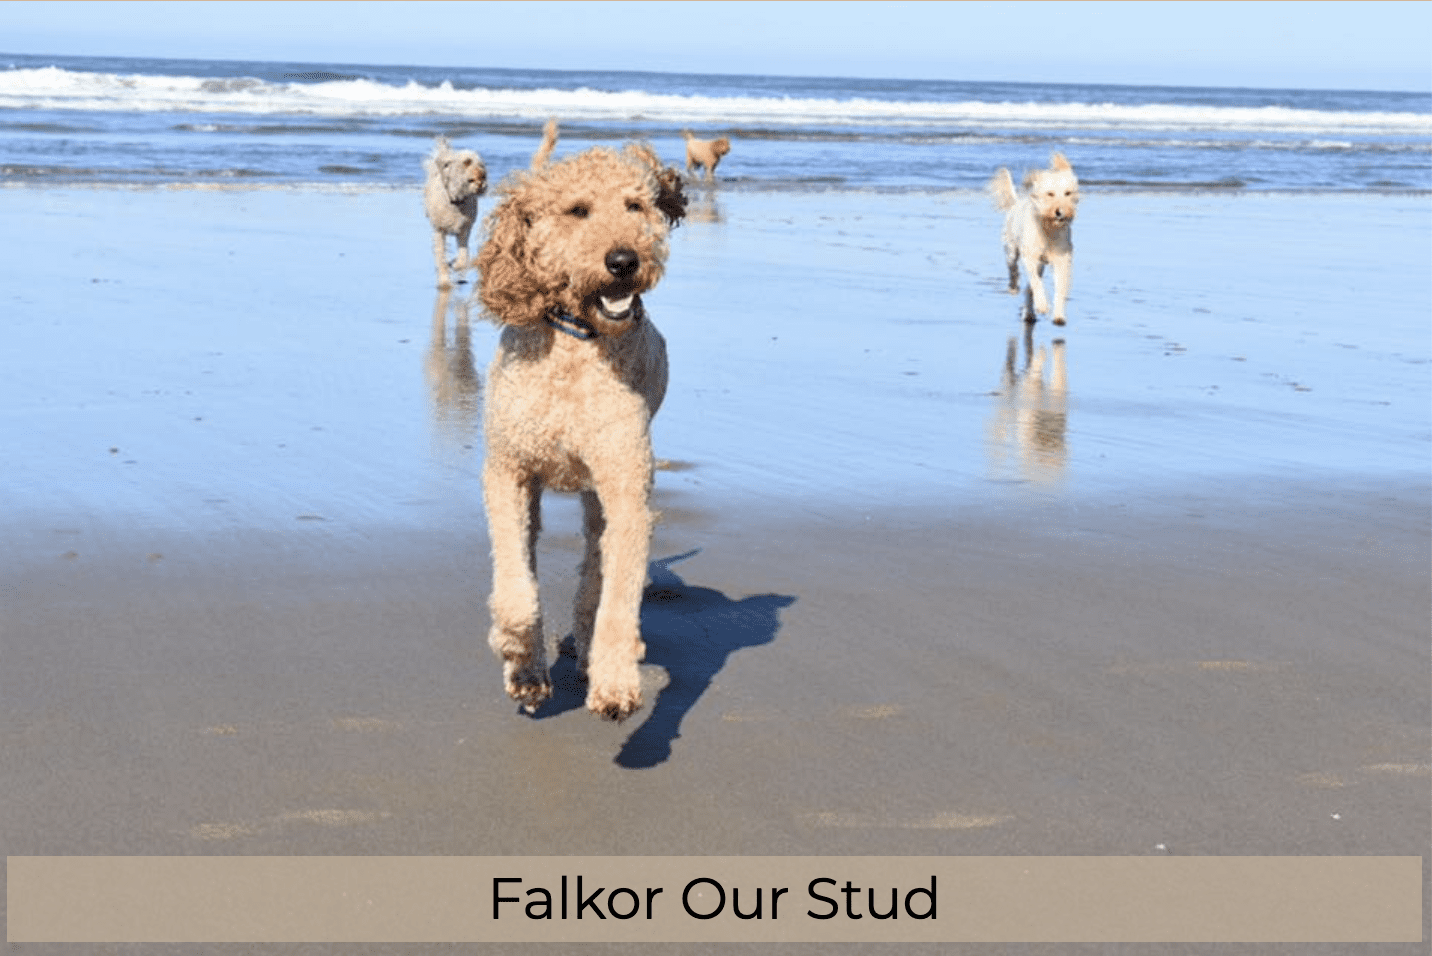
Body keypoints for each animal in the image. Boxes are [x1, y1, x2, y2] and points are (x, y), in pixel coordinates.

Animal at [421, 135, 489, 287]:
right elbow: (441, 257)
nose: (482, 178)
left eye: (482, 164)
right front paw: (444, 281)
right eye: (467, 162)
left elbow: (463, 258)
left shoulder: (464, 230)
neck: (456, 201)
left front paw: (456, 264)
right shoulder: (439, 231)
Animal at [475, 121, 687, 715]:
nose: (624, 260)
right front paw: (516, 646)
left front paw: (615, 679)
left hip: (597, 499)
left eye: (636, 205)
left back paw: (588, 647)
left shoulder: (626, 485)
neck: (576, 346)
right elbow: (515, 582)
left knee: (595, 568)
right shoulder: (509, 472)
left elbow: (618, 593)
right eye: (577, 210)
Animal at [990, 150, 1076, 326]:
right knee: (1013, 269)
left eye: (1068, 193)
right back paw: (1014, 288)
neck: (1048, 228)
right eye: (1050, 194)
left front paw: (1059, 315)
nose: (1060, 212)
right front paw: (1042, 305)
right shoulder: (1030, 257)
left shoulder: (1062, 258)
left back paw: (1029, 312)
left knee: (1029, 288)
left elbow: (1060, 285)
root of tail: (1016, 203)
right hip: (1011, 248)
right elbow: (1036, 282)